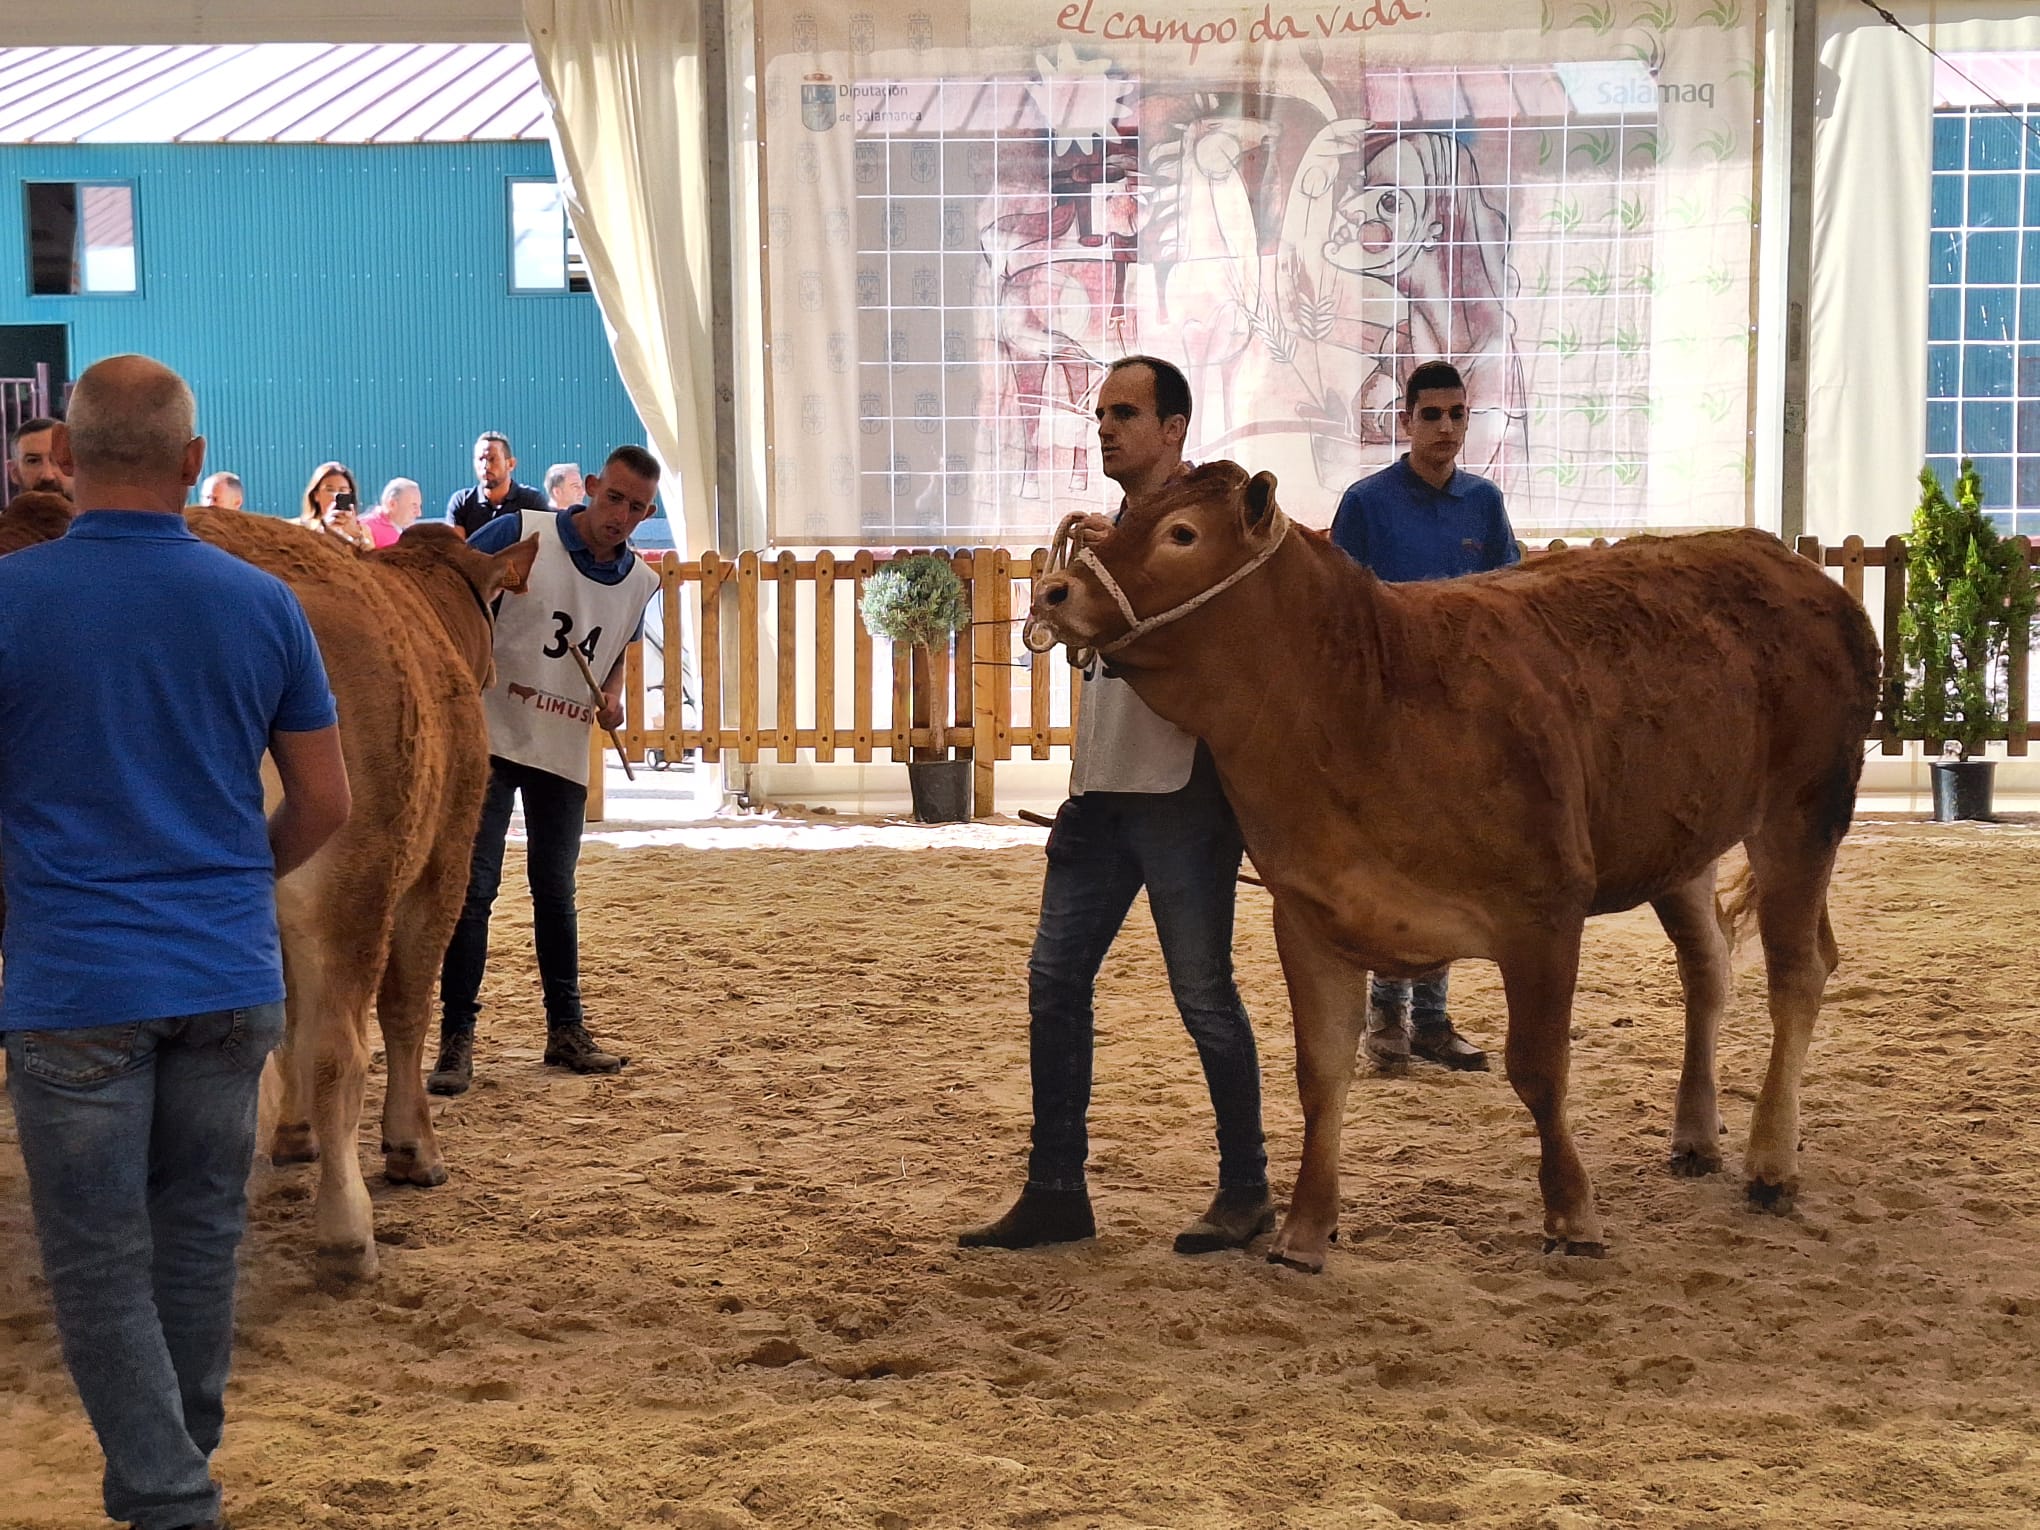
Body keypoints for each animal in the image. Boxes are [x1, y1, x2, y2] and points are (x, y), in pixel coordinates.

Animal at [184, 512, 542, 1281]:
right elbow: (405, 1008)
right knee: (341, 1048)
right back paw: (347, 1232)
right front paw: (414, 1149)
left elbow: (288, 1018)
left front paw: (293, 1136)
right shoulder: (441, 864)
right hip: (355, 873)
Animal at [1028, 461, 1884, 1272]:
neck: (1364, 700)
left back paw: (1770, 1161)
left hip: (1806, 808)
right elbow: (1319, 1073)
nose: (1055, 589)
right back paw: (1696, 1134)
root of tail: (1787, 561)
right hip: (1681, 843)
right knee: (1709, 968)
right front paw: (1304, 1230)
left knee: (1798, 971)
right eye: (1123, 518)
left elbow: (1538, 1068)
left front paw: (1573, 1216)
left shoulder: (1545, 911)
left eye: (1181, 533)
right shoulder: (1308, 914)